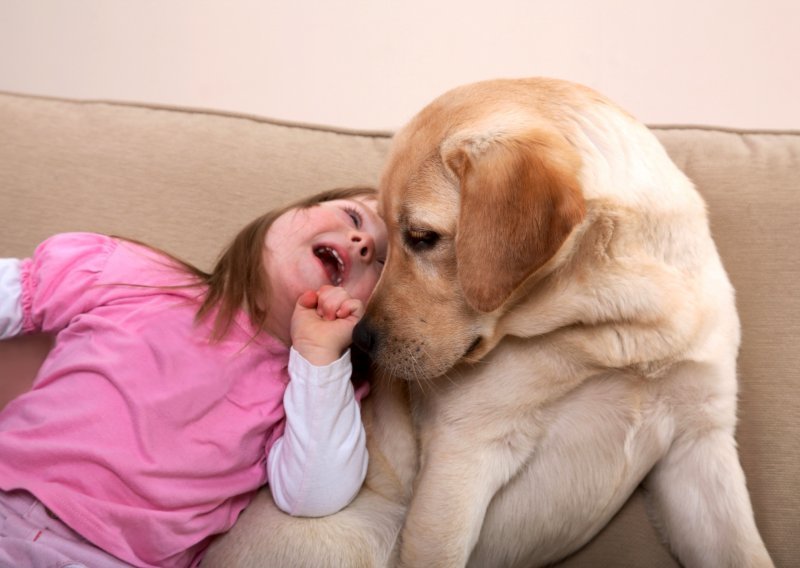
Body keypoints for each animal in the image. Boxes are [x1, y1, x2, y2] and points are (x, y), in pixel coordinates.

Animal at [203, 79, 772, 568]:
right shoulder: (464, 455)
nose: (360, 343)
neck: (616, 327)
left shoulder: (700, 444)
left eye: (422, 237)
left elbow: (746, 553)